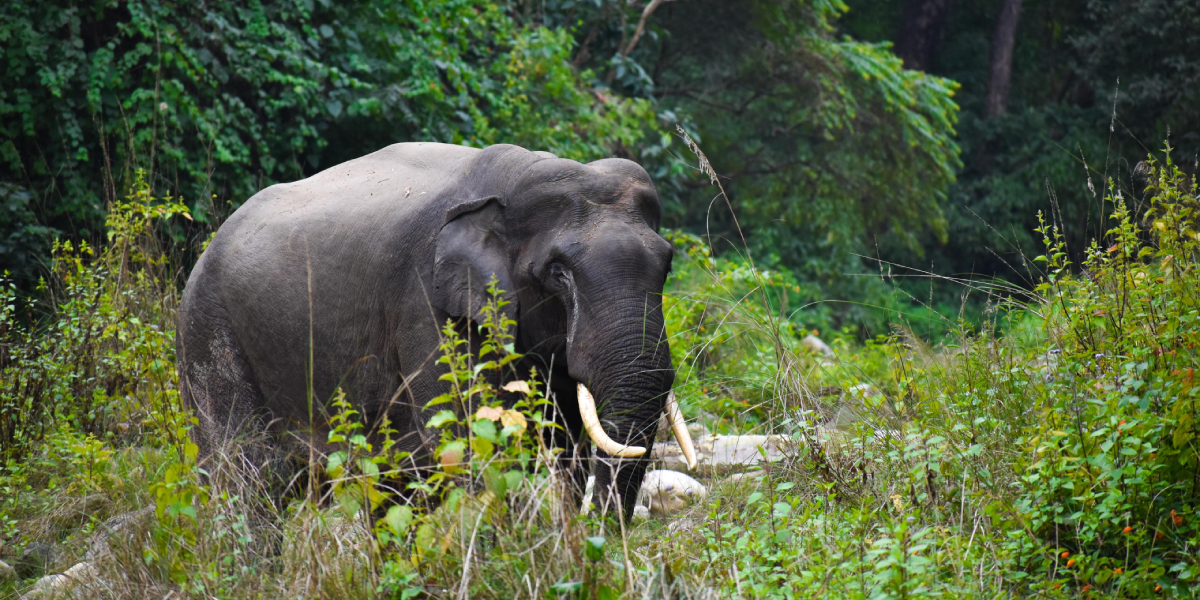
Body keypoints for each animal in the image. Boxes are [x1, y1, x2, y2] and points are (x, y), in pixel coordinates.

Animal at [176, 142, 697, 519]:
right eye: (557, 273)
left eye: (667, 264)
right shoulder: (428, 307)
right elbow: (468, 444)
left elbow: (562, 445)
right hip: (209, 334)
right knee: (245, 475)